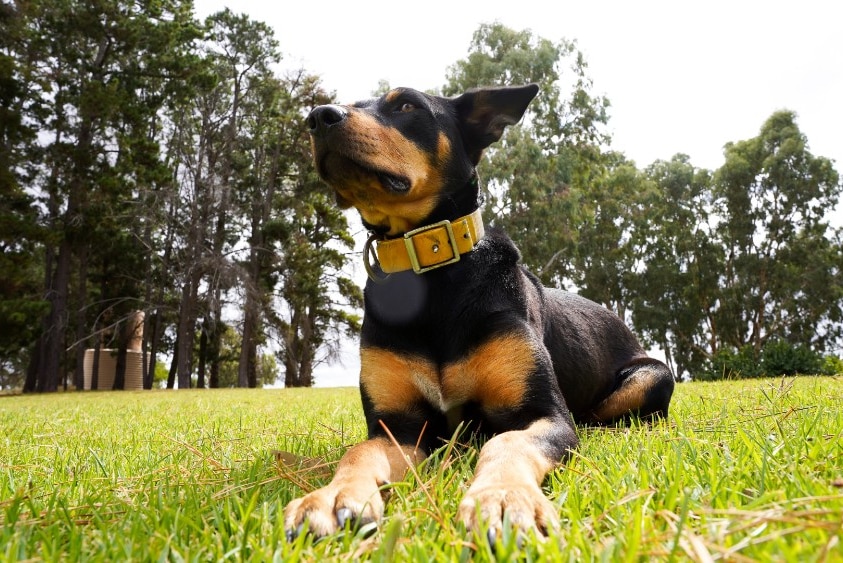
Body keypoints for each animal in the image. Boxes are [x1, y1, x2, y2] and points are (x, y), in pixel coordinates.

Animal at [286, 83, 680, 540]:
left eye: (406, 105)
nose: (317, 117)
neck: (431, 274)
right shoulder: (398, 427)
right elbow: (359, 452)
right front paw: (332, 496)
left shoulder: (544, 416)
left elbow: (504, 442)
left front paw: (505, 497)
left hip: (650, 378)